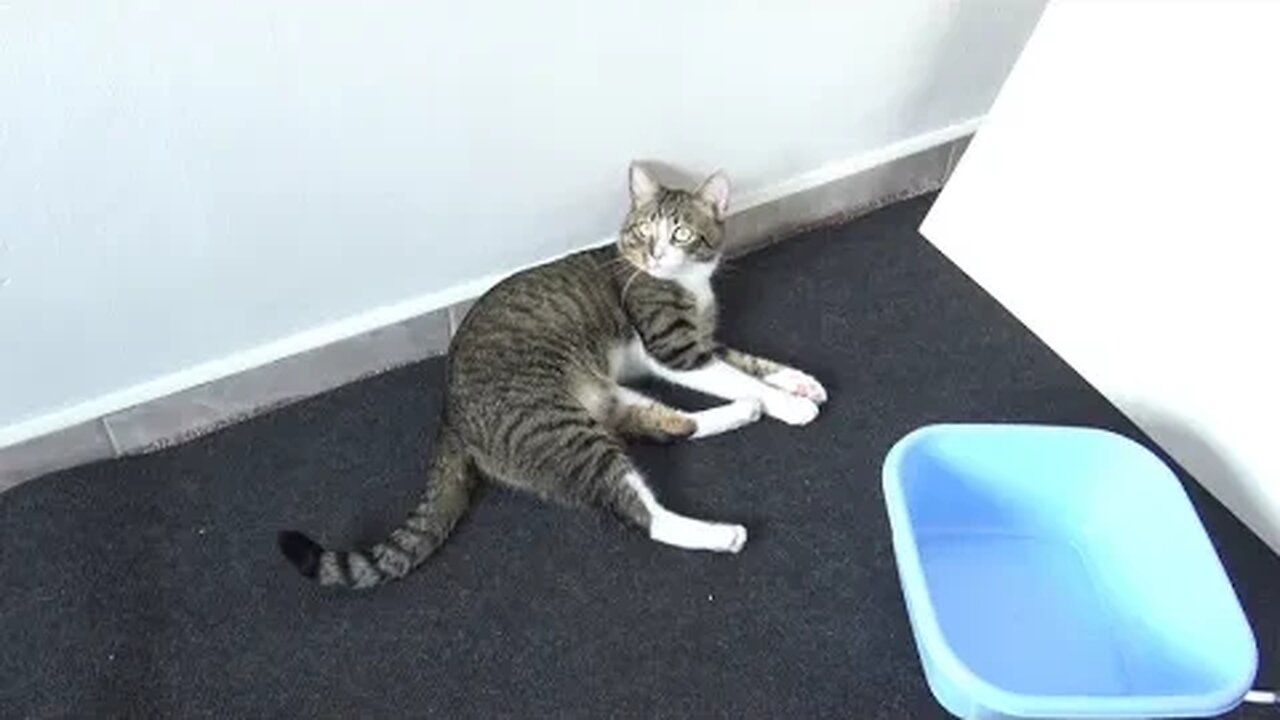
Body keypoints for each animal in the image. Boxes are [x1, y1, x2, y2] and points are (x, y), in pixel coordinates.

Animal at [275, 163, 824, 589]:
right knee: (639, 510)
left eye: (681, 234)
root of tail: (448, 413)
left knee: (659, 423)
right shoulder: (673, 347)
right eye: (643, 232)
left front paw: (799, 381)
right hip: (560, 426)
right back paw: (721, 530)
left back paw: (741, 414)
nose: (654, 255)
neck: (688, 283)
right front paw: (790, 404)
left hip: (599, 397)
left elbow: (748, 362)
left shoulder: (699, 343)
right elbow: (737, 373)